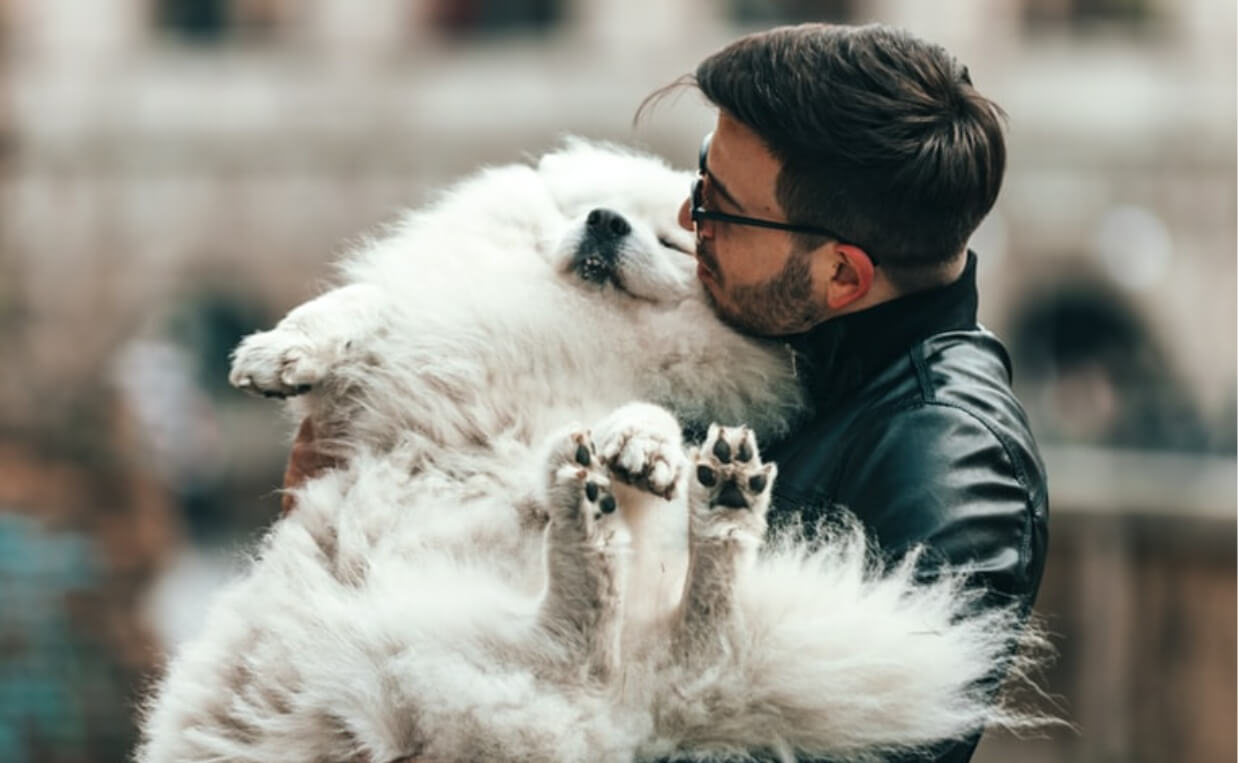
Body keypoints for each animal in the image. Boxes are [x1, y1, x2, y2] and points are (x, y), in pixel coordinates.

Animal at [135, 139, 1039, 758]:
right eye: (586, 205)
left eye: (675, 240)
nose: (606, 221)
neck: (576, 316)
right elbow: (358, 303)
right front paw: (278, 354)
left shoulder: (655, 384)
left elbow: (648, 406)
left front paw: (640, 445)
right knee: (622, 650)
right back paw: (654, 507)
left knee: (619, 646)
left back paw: (688, 503)